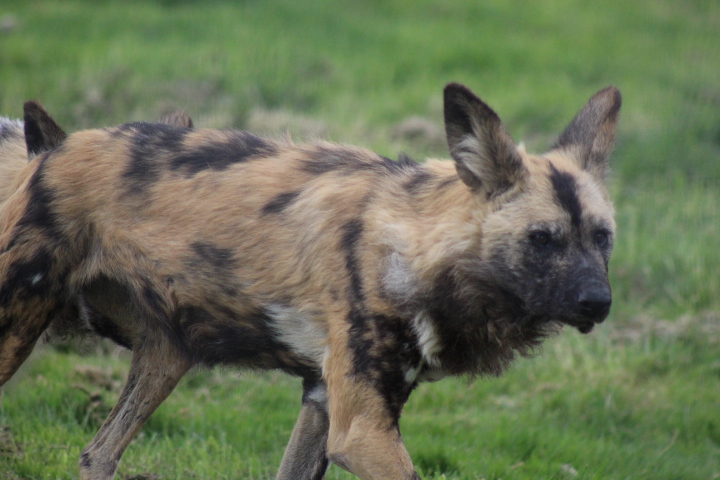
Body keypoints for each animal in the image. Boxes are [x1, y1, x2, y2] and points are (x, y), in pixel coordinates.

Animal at [0, 84, 620, 478]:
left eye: (604, 237)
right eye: (542, 239)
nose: (599, 302)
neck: (410, 243)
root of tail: (50, 150)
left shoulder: (324, 404)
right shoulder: (362, 430)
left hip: (166, 356)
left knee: (97, 455)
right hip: (16, 331)